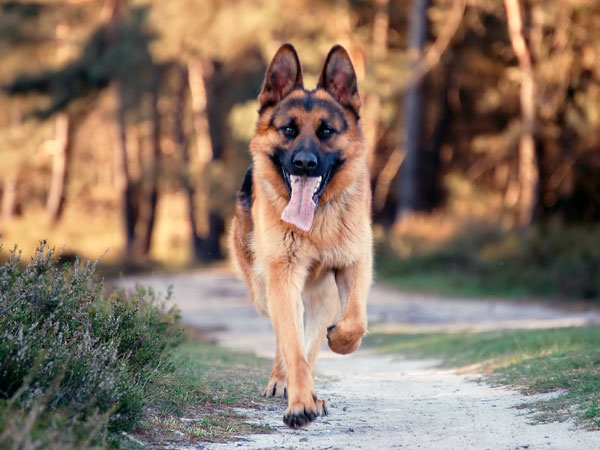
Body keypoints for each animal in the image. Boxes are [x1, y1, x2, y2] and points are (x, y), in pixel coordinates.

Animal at [230, 44, 370, 428]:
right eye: (289, 129)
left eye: (326, 131)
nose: (304, 164)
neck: (317, 225)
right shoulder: (283, 278)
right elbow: (292, 345)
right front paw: (299, 403)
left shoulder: (356, 265)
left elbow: (355, 321)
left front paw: (340, 341)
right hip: (266, 290)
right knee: (285, 338)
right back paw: (285, 384)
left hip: (321, 298)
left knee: (312, 340)